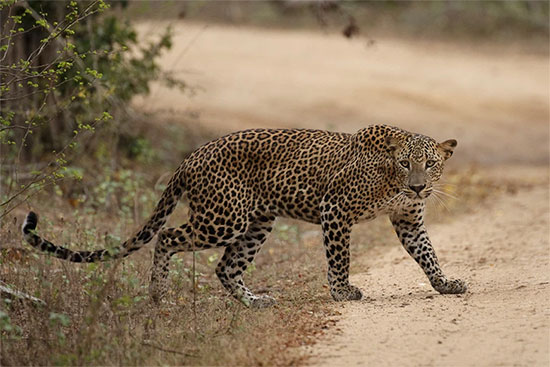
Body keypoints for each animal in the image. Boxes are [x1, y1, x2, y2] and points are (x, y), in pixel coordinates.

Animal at [23, 125, 468, 310]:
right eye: (405, 163)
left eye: (430, 164)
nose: (417, 187)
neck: (390, 181)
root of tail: (191, 156)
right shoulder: (336, 210)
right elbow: (339, 258)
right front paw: (343, 292)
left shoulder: (408, 220)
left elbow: (427, 254)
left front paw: (445, 284)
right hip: (223, 218)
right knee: (167, 237)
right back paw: (157, 294)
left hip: (256, 223)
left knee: (225, 267)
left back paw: (254, 301)